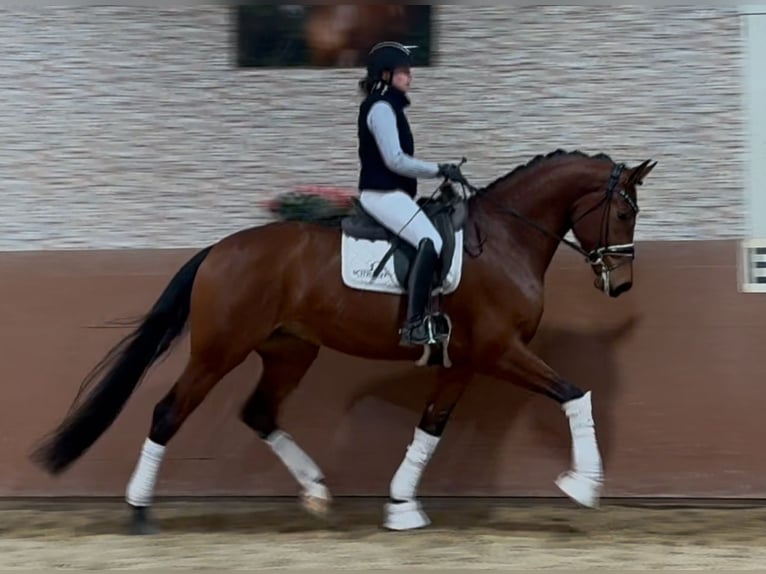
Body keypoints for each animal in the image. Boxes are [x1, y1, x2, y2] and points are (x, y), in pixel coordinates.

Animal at [31, 148, 660, 536]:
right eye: (624, 213)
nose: (622, 284)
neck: (505, 238)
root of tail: (218, 250)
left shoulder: (464, 362)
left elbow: (430, 427)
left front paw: (402, 506)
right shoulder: (499, 350)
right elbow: (575, 394)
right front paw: (583, 485)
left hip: (290, 350)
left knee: (259, 412)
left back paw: (315, 491)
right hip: (218, 351)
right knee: (168, 413)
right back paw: (140, 511)